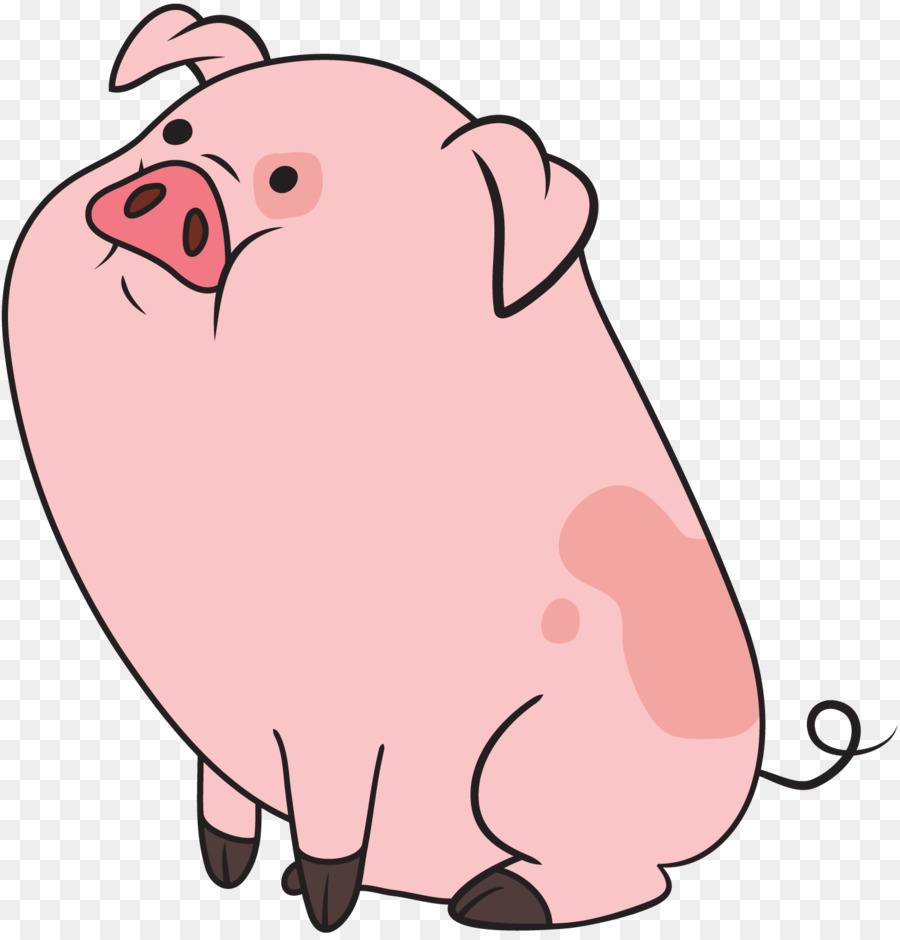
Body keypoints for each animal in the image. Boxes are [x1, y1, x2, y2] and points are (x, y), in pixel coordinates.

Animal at [2, 6, 890, 932]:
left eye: (287, 181)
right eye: (174, 132)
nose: (172, 185)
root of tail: (750, 775)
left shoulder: (337, 696)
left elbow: (331, 806)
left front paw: (326, 907)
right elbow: (226, 791)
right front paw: (226, 869)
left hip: (530, 767)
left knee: (631, 874)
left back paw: (495, 900)